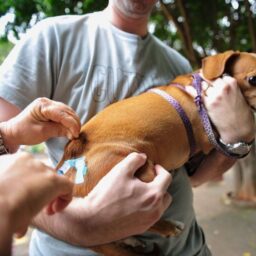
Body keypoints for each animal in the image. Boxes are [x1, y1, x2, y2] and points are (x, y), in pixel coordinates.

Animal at [56, 50, 256, 256]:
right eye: (253, 79)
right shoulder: (208, 139)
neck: (199, 87)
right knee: (137, 221)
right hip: (141, 171)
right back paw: (168, 227)